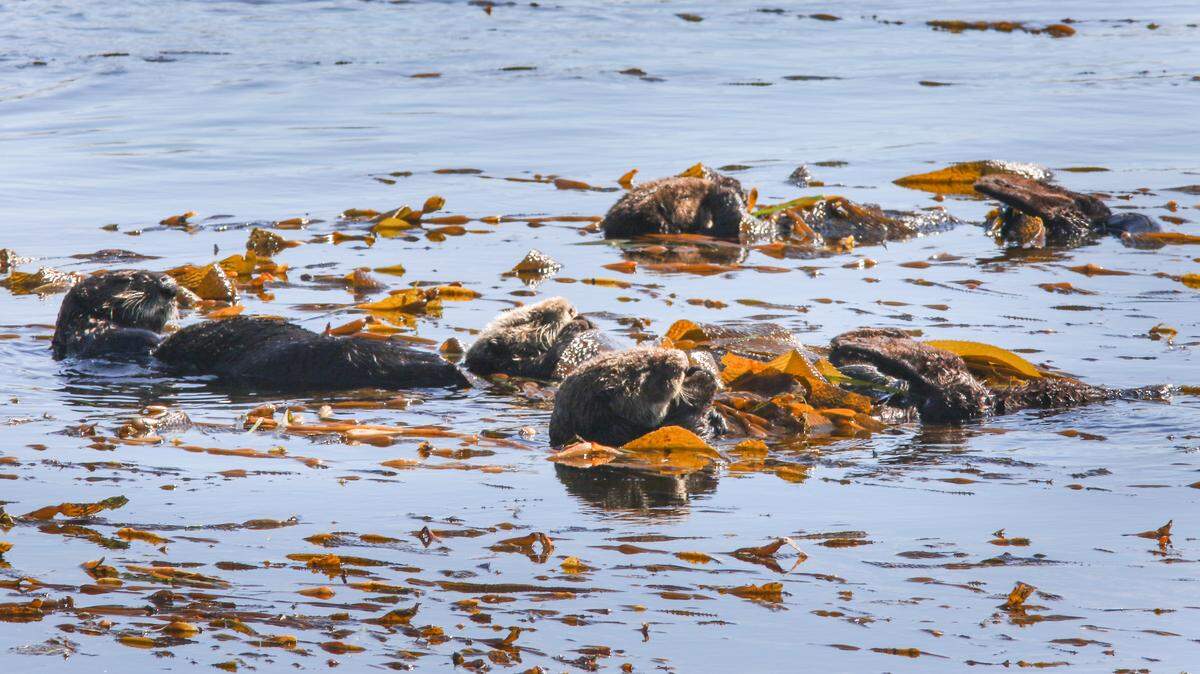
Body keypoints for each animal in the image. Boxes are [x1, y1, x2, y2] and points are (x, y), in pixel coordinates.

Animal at [465, 297, 618, 380]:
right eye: (536, 317)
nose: (570, 308)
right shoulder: (527, 368)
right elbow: (549, 361)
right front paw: (576, 324)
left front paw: (585, 320)